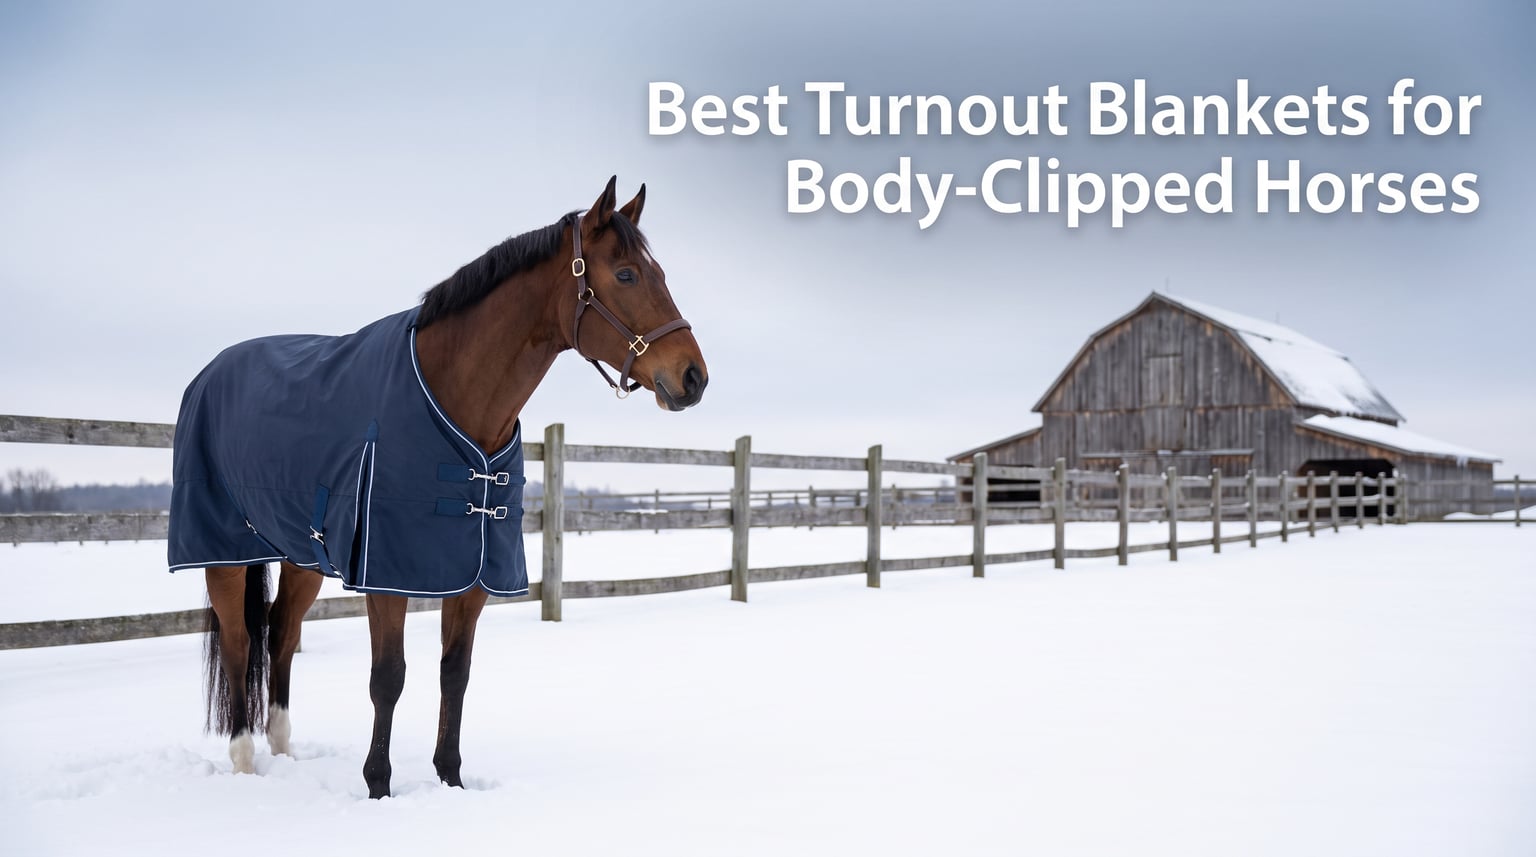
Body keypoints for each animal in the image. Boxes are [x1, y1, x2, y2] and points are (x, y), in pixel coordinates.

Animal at [169, 177, 707, 798]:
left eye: (658, 272)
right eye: (625, 275)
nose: (694, 377)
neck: (455, 397)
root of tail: (208, 373)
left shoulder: (472, 574)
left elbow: (456, 673)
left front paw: (450, 778)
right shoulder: (386, 575)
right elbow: (388, 677)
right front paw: (378, 785)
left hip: (302, 553)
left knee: (280, 634)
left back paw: (283, 748)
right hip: (223, 552)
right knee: (239, 644)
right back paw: (243, 761)